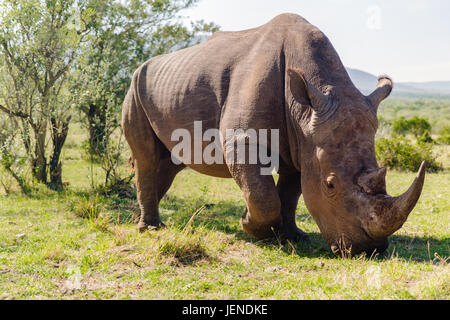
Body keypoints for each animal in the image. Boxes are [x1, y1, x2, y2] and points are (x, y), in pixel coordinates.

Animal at [123, 13, 426, 256]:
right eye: (330, 185)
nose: (368, 249)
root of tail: (141, 67)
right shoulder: (244, 140)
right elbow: (264, 195)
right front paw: (251, 226)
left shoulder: (304, 142)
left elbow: (291, 193)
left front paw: (292, 236)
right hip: (135, 86)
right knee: (147, 158)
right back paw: (150, 228)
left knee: (168, 163)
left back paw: (145, 218)